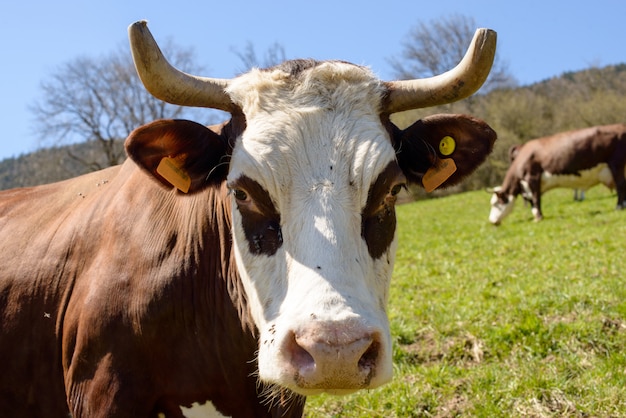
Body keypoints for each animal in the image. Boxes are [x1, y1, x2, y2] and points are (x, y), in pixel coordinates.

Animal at [488, 123, 624, 225]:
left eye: (496, 203)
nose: (492, 221)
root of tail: (620, 126)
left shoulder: (533, 178)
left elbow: (536, 198)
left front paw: (539, 217)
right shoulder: (527, 186)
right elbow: (532, 201)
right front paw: (536, 216)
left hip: (616, 165)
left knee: (621, 186)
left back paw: (619, 207)